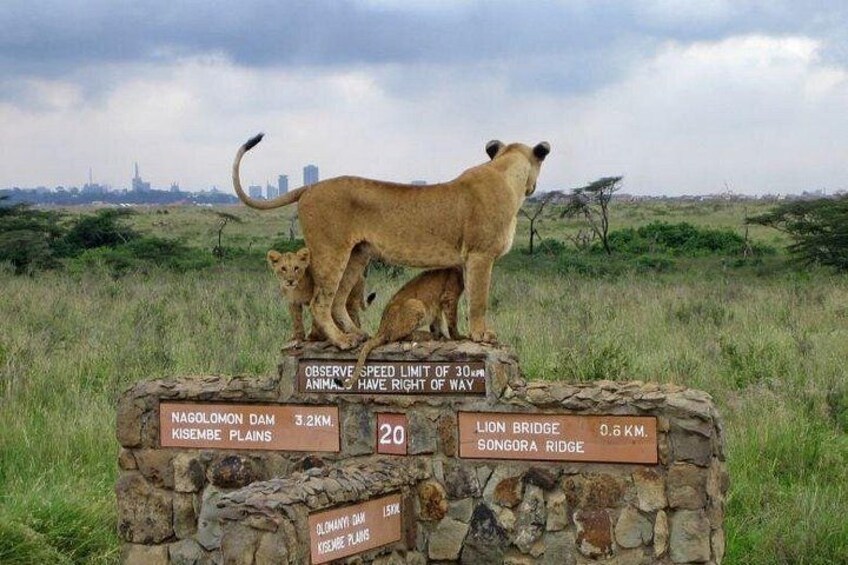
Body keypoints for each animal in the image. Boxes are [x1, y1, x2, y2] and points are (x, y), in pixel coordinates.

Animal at [234, 133, 550, 350]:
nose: (535, 187)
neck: (507, 174)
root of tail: (311, 186)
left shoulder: (468, 259)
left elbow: (465, 299)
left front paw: (463, 335)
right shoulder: (480, 254)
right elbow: (479, 300)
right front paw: (482, 335)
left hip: (357, 255)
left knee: (338, 301)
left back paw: (358, 334)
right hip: (330, 252)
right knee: (320, 303)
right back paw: (342, 341)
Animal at [336, 267, 464, 389]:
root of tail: (381, 327)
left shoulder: (437, 306)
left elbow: (439, 322)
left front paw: (445, 336)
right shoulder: (449, 297)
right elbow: (452, 321)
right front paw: (458, 337)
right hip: (416, 304)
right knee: (396, 337)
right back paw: (428, 335)